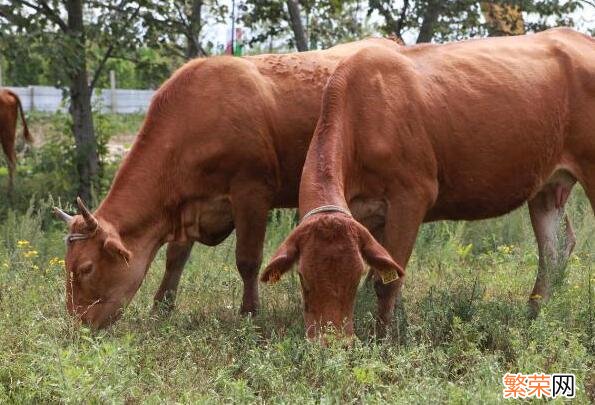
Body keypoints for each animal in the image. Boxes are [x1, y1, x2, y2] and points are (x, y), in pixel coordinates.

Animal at [53, 38, 402, 328]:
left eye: (85, 268)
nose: (77, 325)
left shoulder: (251, 191)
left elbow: (247, 260)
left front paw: (249, 315)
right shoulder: (189, 204)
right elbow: (175, 259)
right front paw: (160, 310)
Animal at [264, 28, 595, 338]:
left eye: (353, 278)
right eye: (303, 278)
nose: (330, 343)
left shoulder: (411, 195)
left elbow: (387, 282)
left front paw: (384, 340)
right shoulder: (368, 216)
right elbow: (386, 273)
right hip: (548, 185)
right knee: (554, 252)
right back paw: (532, 318)